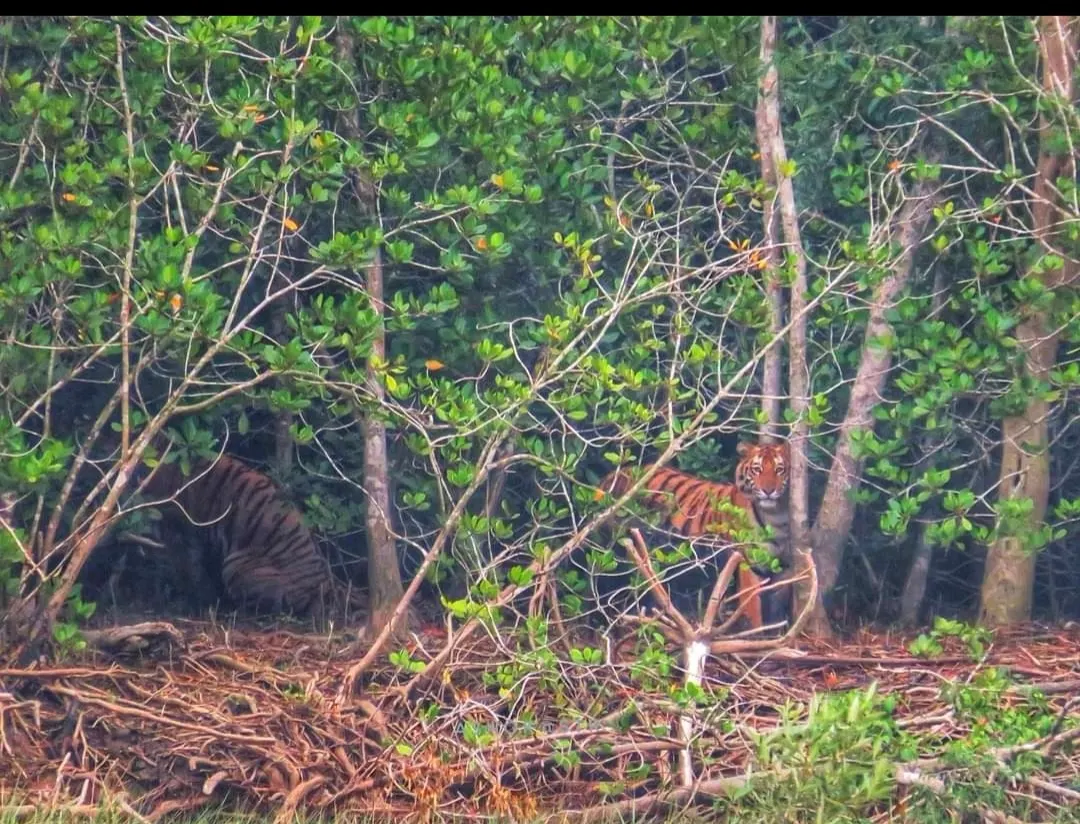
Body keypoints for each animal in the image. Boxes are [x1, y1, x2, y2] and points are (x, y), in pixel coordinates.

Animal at [594, 440, 790, 629]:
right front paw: (755, 632)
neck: (776, 516)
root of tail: (610, 478)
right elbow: (751, 605)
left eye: (779, 470)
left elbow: (775, 606)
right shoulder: (746, 562)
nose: (768, 491)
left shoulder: (778, 568)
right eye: (757, 470)